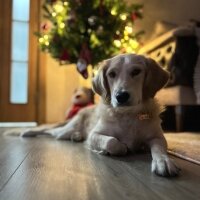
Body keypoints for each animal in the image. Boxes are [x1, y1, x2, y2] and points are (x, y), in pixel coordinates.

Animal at [10, 53, 180, 177]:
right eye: (112, 74)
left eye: (136, 72)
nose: (121, 96)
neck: (127, 115)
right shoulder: (94, 135)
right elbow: (112, 142)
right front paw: (114, 149)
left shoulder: (157, 137)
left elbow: (159, 148)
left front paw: (163, 161)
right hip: (65, 130)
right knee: (48, 131)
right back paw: (27, 132)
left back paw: (76, 137)